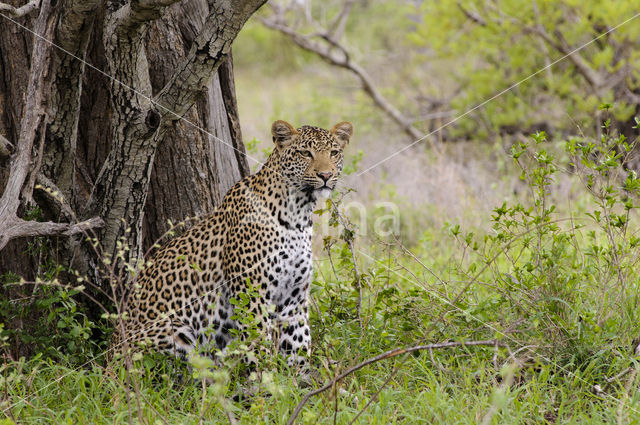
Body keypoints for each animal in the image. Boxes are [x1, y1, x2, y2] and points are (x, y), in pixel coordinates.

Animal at [112, 118, 352, 372]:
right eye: (305, 153)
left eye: (334, 153)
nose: (325, 174)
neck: (299, 212)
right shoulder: (252, 293)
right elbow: (258, 342)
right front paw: (263, 376)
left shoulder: (293, 298)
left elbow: (299, 343)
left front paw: (299, 378)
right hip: (174, 331)